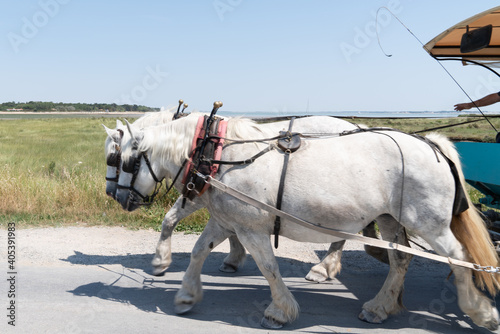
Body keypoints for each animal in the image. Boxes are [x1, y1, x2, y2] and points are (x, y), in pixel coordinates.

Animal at [102, 111, 382, 280]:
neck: (202, 146)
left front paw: (160, 261)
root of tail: (358, 126)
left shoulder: (200, 194)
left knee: (342, 233)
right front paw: (234, 258)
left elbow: (170, 219)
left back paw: (322, 269)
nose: (114, 195)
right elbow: (229, 228)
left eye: (119, 160)